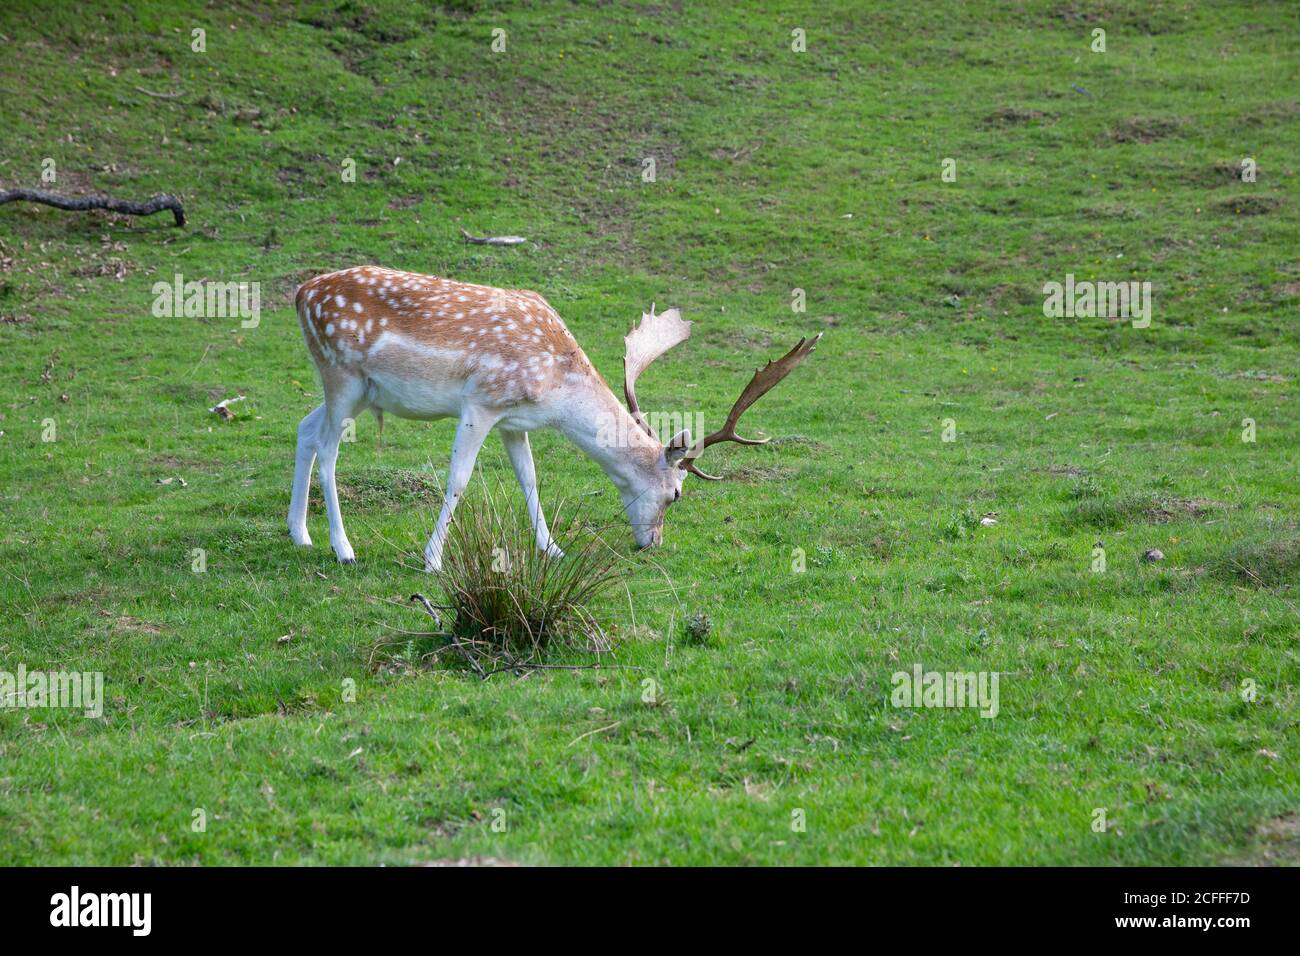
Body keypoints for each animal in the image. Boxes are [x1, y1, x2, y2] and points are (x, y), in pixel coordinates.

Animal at [293, 264, 821, 567]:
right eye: (676, 494)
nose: (653, 542)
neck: (556, 391)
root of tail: (300, 293)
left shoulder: (513, 422)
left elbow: (529, 479)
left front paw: (553, 549)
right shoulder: (482, 401)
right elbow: (459, 479)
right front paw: (433, 560)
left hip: (360, 389)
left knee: (304, 427)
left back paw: (300, 534)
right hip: (341, 373)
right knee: (328, 448)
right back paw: (342, 548)